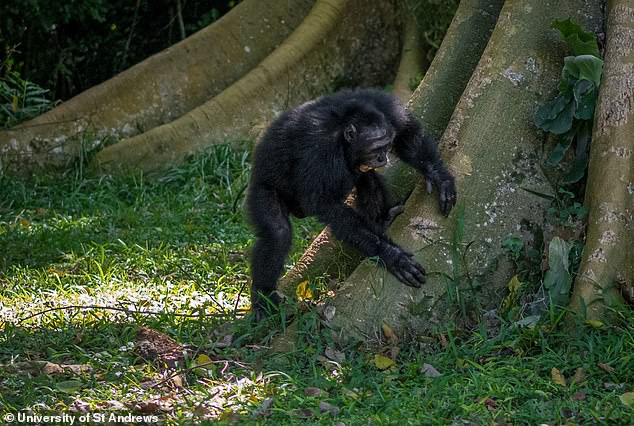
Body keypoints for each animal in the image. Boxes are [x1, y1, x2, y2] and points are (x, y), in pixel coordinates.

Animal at [243, 89, 454, 320]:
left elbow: (407, 134)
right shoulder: (319, 152)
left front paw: (439, 177)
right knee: (277, 233)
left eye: (386, 145)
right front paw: (391, 255)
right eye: (375, 148)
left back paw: (383, 219)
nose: (383, 158)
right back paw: (262, 300)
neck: (344, 126)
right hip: (261, 190)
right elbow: (326, 204)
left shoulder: (385, 105)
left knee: (366, 178)